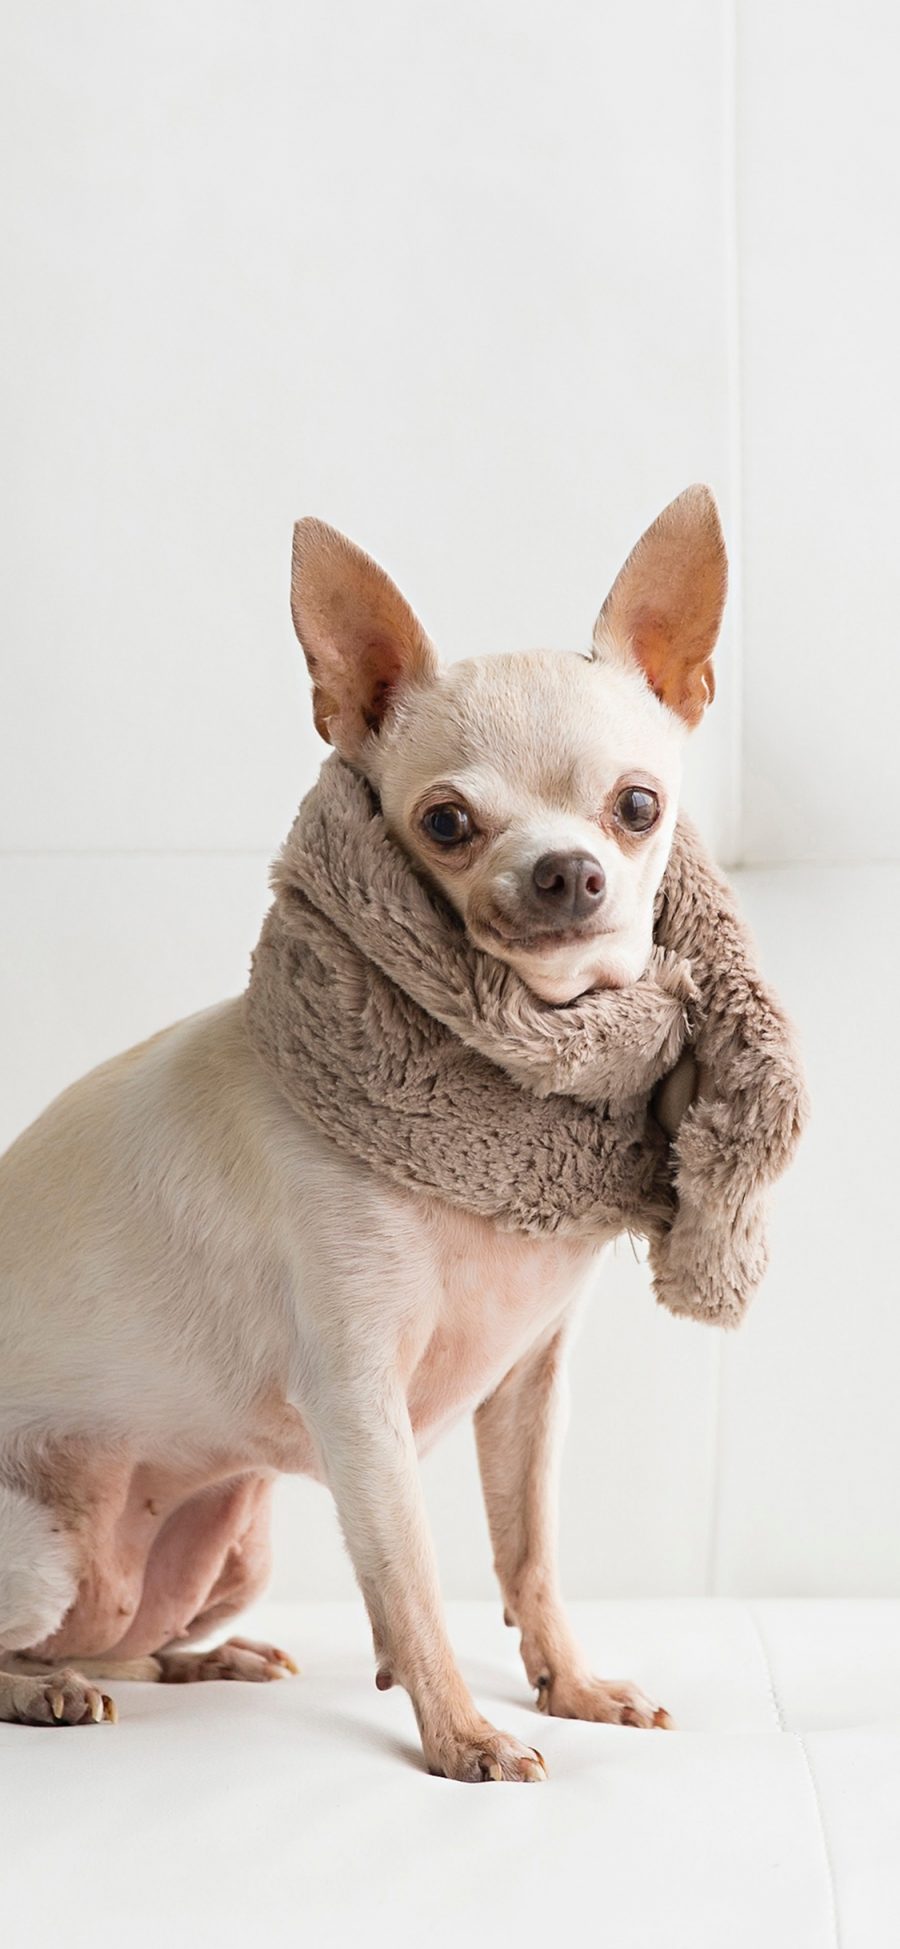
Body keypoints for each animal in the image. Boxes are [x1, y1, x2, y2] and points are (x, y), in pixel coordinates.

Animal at [0, 491, 724, 1785]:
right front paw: (464, 1733)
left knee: (119, 1635)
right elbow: (413, 1579)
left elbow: (529, 1550)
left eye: (638, 806)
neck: (502, 1090)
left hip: (230, 1541)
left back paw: (199, 1659)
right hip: (36, 1548)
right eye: (446, 821)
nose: (565, 870)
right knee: (22, 1647)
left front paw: (572, 1685)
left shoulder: (528, 1384)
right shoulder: (358, 1402)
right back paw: (45, 1693)